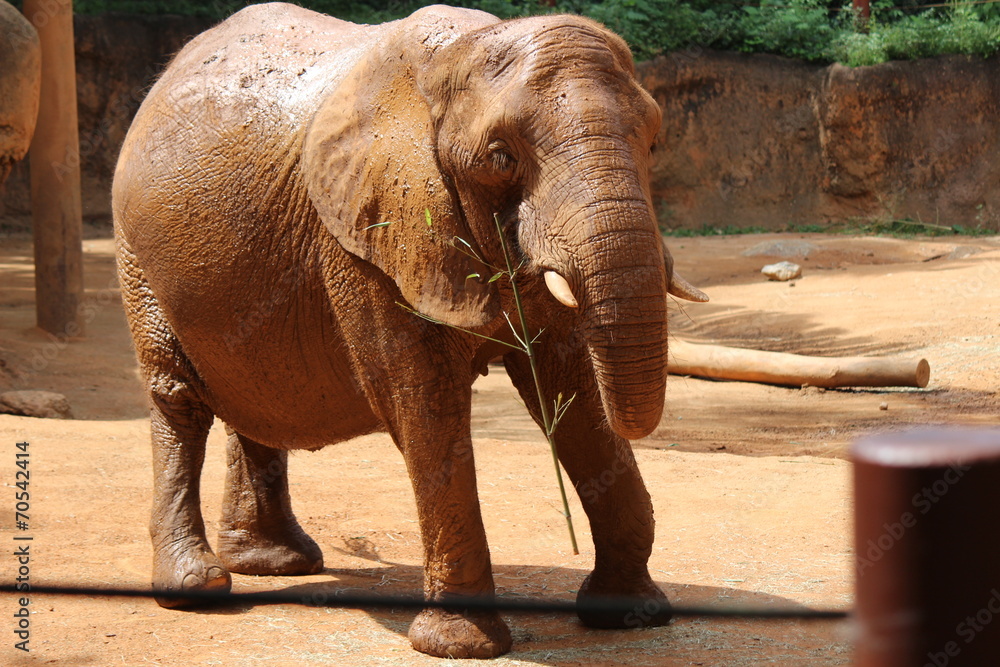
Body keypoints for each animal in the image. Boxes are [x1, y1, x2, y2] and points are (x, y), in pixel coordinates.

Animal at [112, 2, 707, 659]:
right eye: (500, 157)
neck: (463, 51)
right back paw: (196, 586)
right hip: (136, 255)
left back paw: (273, 563)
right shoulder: (363, 240)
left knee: (255, 398)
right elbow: (421, 403)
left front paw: (630, 615)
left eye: (652, 142)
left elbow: (573, 392)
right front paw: (462, 647)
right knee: (179, 399)